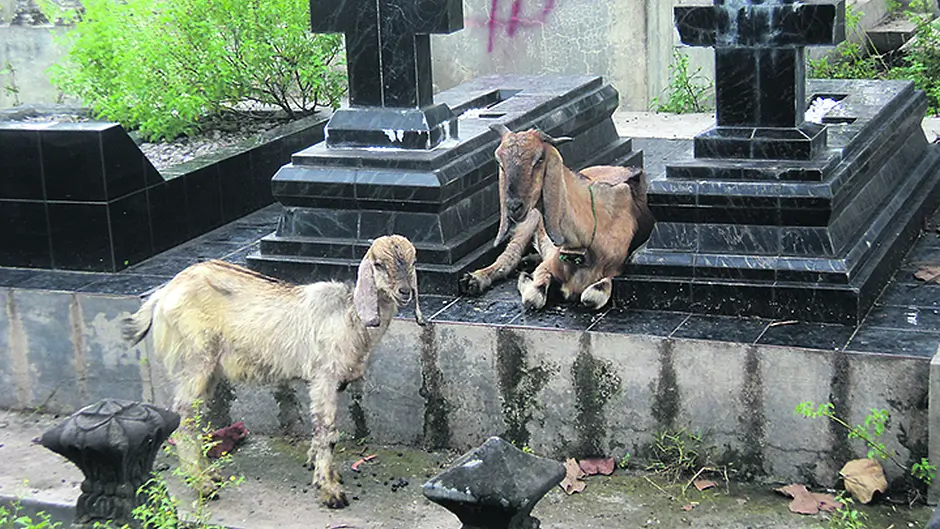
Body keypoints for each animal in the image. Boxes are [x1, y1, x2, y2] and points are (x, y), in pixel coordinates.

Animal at [123, 235, 425, 509]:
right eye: (378, 264)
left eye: (413, 262)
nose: (405, 292)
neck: (350, 315)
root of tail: (163, 293)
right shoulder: (325, 377)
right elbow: (327, 432)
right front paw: (330, 491)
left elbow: (321, 431)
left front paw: (320, 468)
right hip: (196, 358)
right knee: (183, 416)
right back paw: (203, 485)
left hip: (207, 369)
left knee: (194, 415)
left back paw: (210, 474)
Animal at [460, 124, 654, 310]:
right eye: (500, 162)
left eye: (539, 159)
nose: (514, 207)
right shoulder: (547, 265)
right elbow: (533, 297)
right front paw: (526, 279)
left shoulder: (616, 270)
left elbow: (591, 297)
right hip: (530, 220)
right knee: (509, 256)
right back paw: (474, 280)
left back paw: (526, 261)